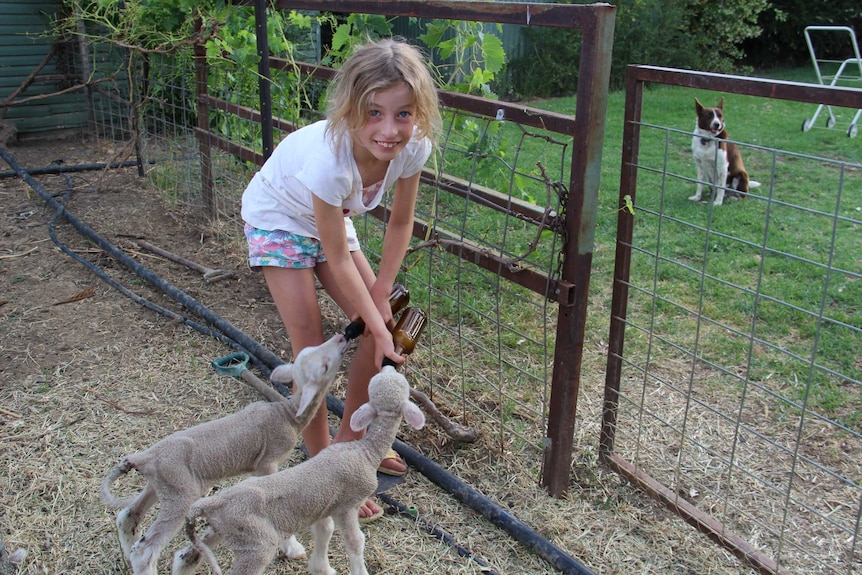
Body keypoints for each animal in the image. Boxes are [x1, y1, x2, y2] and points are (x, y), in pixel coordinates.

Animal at [103, 332, 352, 575]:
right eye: (325, 366)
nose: (342, 337)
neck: (286, 414)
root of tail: (145, 457)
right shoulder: (267, 462)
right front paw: (292, 548)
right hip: (180, 494)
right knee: (145, 549)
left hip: (161, 485)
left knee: (127, 517)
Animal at [175, 366, 428, 572]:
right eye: (389, 379)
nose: (388, 365)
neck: (365, 451)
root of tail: (212, 503)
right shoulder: (347, 505)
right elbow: (356, 542)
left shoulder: (324, 505)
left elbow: (324, 529)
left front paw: (321, 567)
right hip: (257, 543)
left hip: (224, 530)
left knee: (186, 557)